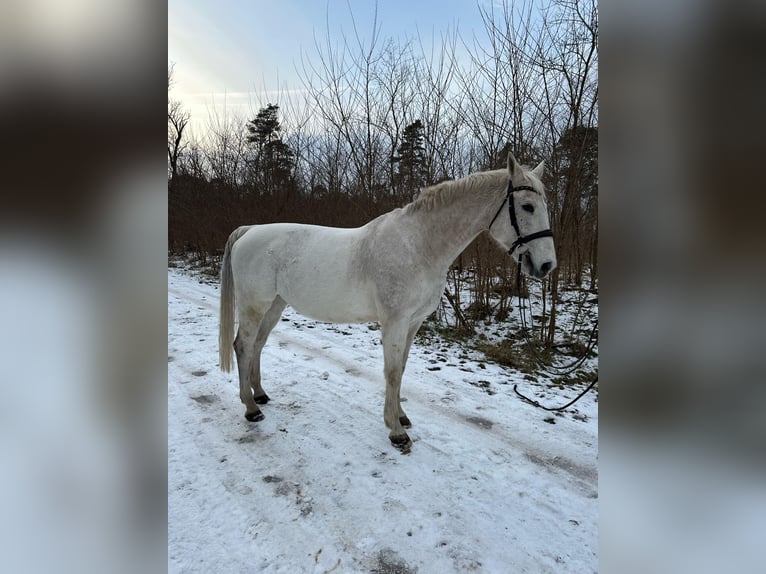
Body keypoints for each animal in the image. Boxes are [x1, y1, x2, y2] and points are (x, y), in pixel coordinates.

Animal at [219, 153, 556, 451]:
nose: (546, 265)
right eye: (527, 206)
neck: (418, 246)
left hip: (274, 306)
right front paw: (396, 433)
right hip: (253, 306)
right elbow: (391, 372)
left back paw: (260, 395)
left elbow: (401, 369)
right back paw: (251, 408)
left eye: (544, 206)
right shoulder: (394, 321)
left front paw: (401, 418)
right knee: (243, 346)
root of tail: (249, 230)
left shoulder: (414, 322)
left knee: (257, 345)